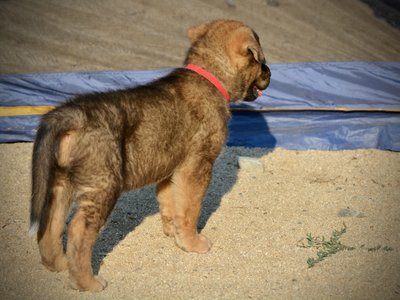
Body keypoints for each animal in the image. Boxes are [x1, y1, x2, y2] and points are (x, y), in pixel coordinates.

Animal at [29, 19, 270, 292]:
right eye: (260, 61)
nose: (270, 73)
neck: (210, 77)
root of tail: (70, 114)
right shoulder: (197, 165)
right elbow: (191, 208)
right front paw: (193, 243)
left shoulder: (171, 170)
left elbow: (171, 203)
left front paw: (173, 233)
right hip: (103, 184)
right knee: (79, 229)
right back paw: (87, 282)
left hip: (61, 180)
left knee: (51, 223)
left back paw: (58, 264)